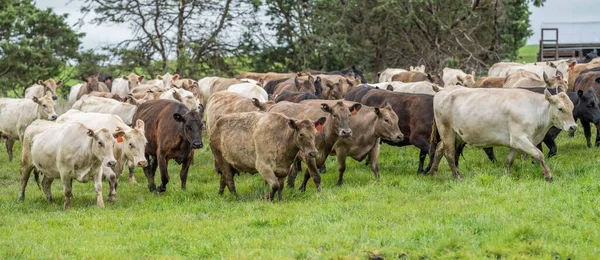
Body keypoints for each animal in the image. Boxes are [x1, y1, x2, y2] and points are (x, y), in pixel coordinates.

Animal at [426, 87, 576, 181]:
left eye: (572, 107)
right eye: (560, 108)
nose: (573, 127)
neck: (534, 109)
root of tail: (442, 92)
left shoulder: (515, 143)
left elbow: (509, 160)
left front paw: (507, 175)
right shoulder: (519, 139)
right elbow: (539, 155)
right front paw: (548, 176)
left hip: (455, 135)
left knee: (439, 149)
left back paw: (433, 173)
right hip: (447, 132)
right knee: (449, 154)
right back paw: (457, 176)